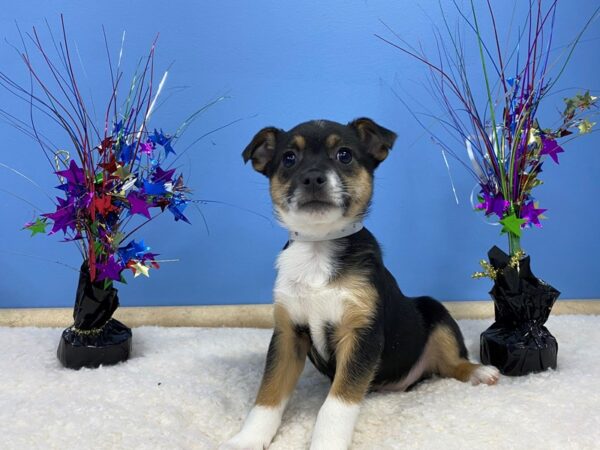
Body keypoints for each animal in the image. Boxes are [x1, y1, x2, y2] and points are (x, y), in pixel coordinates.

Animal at [223, 118, 500, 448]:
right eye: (289, 158)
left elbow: (336, 404)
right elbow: (268, 394)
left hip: (436, 313)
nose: (313, 177)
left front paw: (326, 444)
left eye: (344, 155)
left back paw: (480, 372)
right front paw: (248, 439)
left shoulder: (361, 335)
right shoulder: (287, 334)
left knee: (453, 364)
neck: (319, 248)